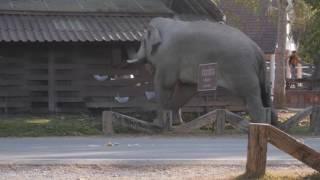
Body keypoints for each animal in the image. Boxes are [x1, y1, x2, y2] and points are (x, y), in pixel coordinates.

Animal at [127, 17, 278, 126]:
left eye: (142, 41)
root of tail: (257, 50)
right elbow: (186, 88)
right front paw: (176, 123)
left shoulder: (168, 58)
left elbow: (164, 85)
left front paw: (158, 123)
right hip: (258, 74)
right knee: (264, 96)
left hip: (242, 70)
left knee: (251, 97)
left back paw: (258, 124)